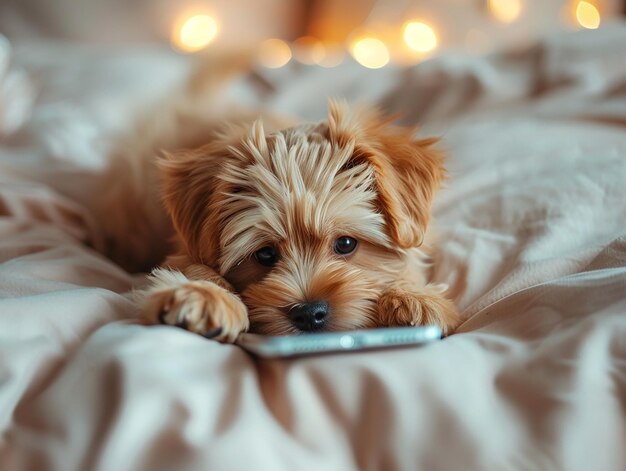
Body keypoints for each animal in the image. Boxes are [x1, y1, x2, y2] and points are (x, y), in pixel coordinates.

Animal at [133, 100, 458, 342]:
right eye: (265, 254)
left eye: (346, 244)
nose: (309, 313)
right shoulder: (184, 245)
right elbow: (191, 264)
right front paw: (205, 294)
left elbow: (407, 263)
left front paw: (412, 298)